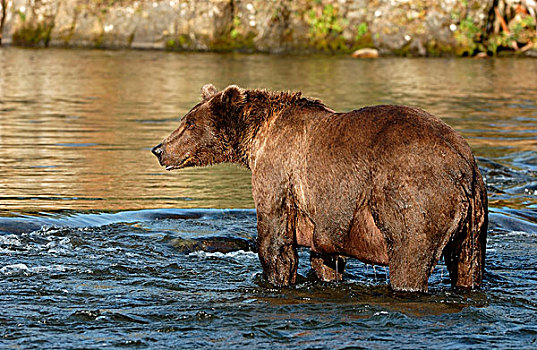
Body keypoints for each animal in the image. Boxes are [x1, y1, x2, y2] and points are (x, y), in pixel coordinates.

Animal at [150, 83, 486, 292]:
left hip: (415, 194)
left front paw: (276, 279)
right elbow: (324, 256)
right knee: (467, 265)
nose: (158, 149)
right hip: (474, 219)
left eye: (189, 123)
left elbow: (274, 240)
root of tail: (463, 163)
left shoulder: (278, 171)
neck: (254, 139)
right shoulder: (325, 210)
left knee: (410, 254)